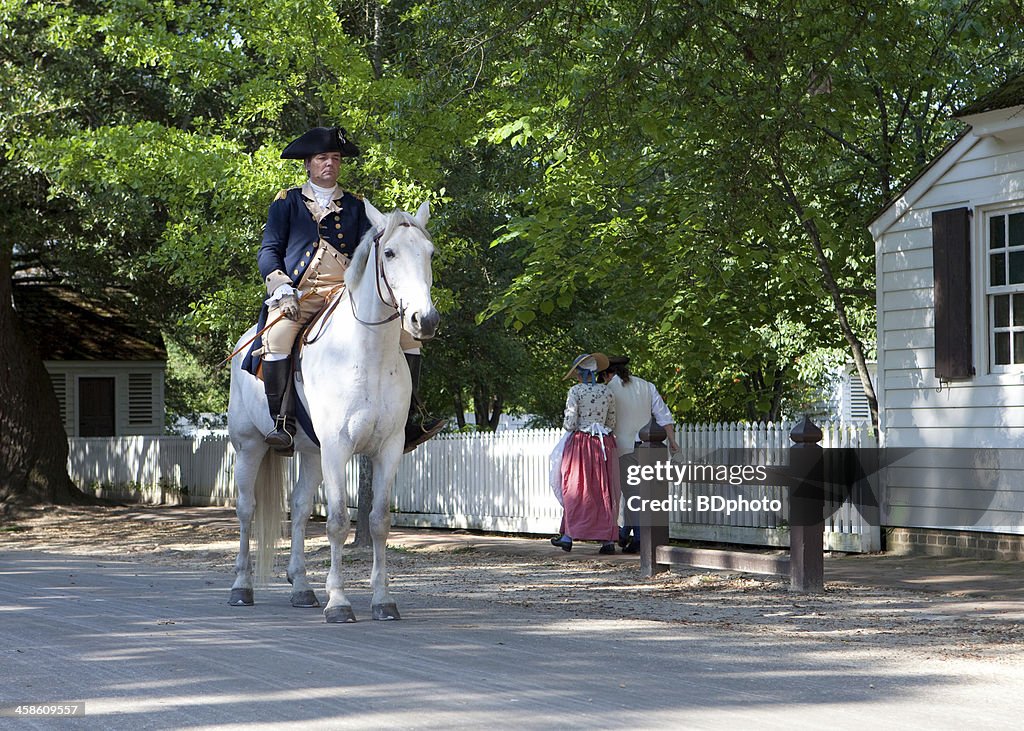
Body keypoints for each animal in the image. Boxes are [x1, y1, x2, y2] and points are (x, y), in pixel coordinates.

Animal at [226, 197, 438, 622]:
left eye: (430, 254)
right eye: (389, 253)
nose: (424, 320)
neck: (368, 355)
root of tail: (244, 343)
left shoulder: (388, 449)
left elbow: (378, 521)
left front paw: (382, 599)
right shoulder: (338, 448)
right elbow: (339, 521)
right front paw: (339, 601)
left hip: (310, 453)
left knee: (300, 509)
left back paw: (302, 588)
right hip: (249, 447)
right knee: (246, 510)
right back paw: (242, 587)